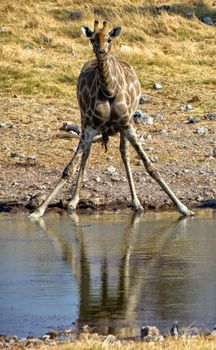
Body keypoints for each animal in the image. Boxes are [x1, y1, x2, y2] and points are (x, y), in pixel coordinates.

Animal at [29, 20, 194, 217]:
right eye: (92, 38)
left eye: (109, 39)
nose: (101, 52)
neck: (109, 90)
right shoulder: (92, 125)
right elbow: (69, 168)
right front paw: (39, 210)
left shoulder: (126, 124)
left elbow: (150, 166)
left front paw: (183, 208)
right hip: (84, 118)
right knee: (86, 153)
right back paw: (74, 201)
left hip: (124, 124)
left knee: (124, 153)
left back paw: (136, 203)